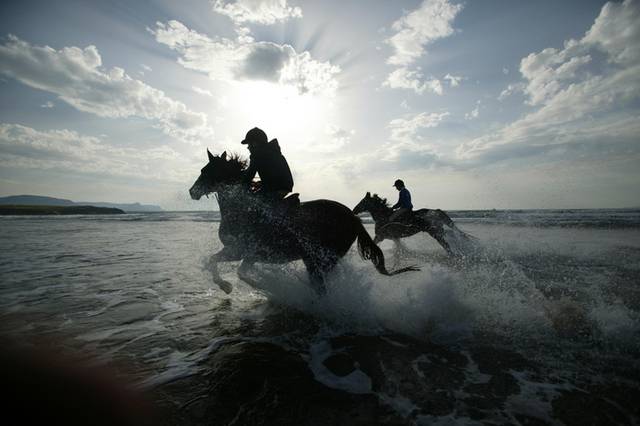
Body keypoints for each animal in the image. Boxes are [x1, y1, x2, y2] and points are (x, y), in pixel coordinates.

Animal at [188, 151, 418, 296]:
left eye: (206, 170)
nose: (192, 191)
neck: (242, 209)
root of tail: (354, 218)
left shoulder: (238, 250)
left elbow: (227, 267)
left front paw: (245, 286)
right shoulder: (246, 254)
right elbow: (227, 266)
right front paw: (233, 286)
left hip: (319, 259)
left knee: (321, 286)